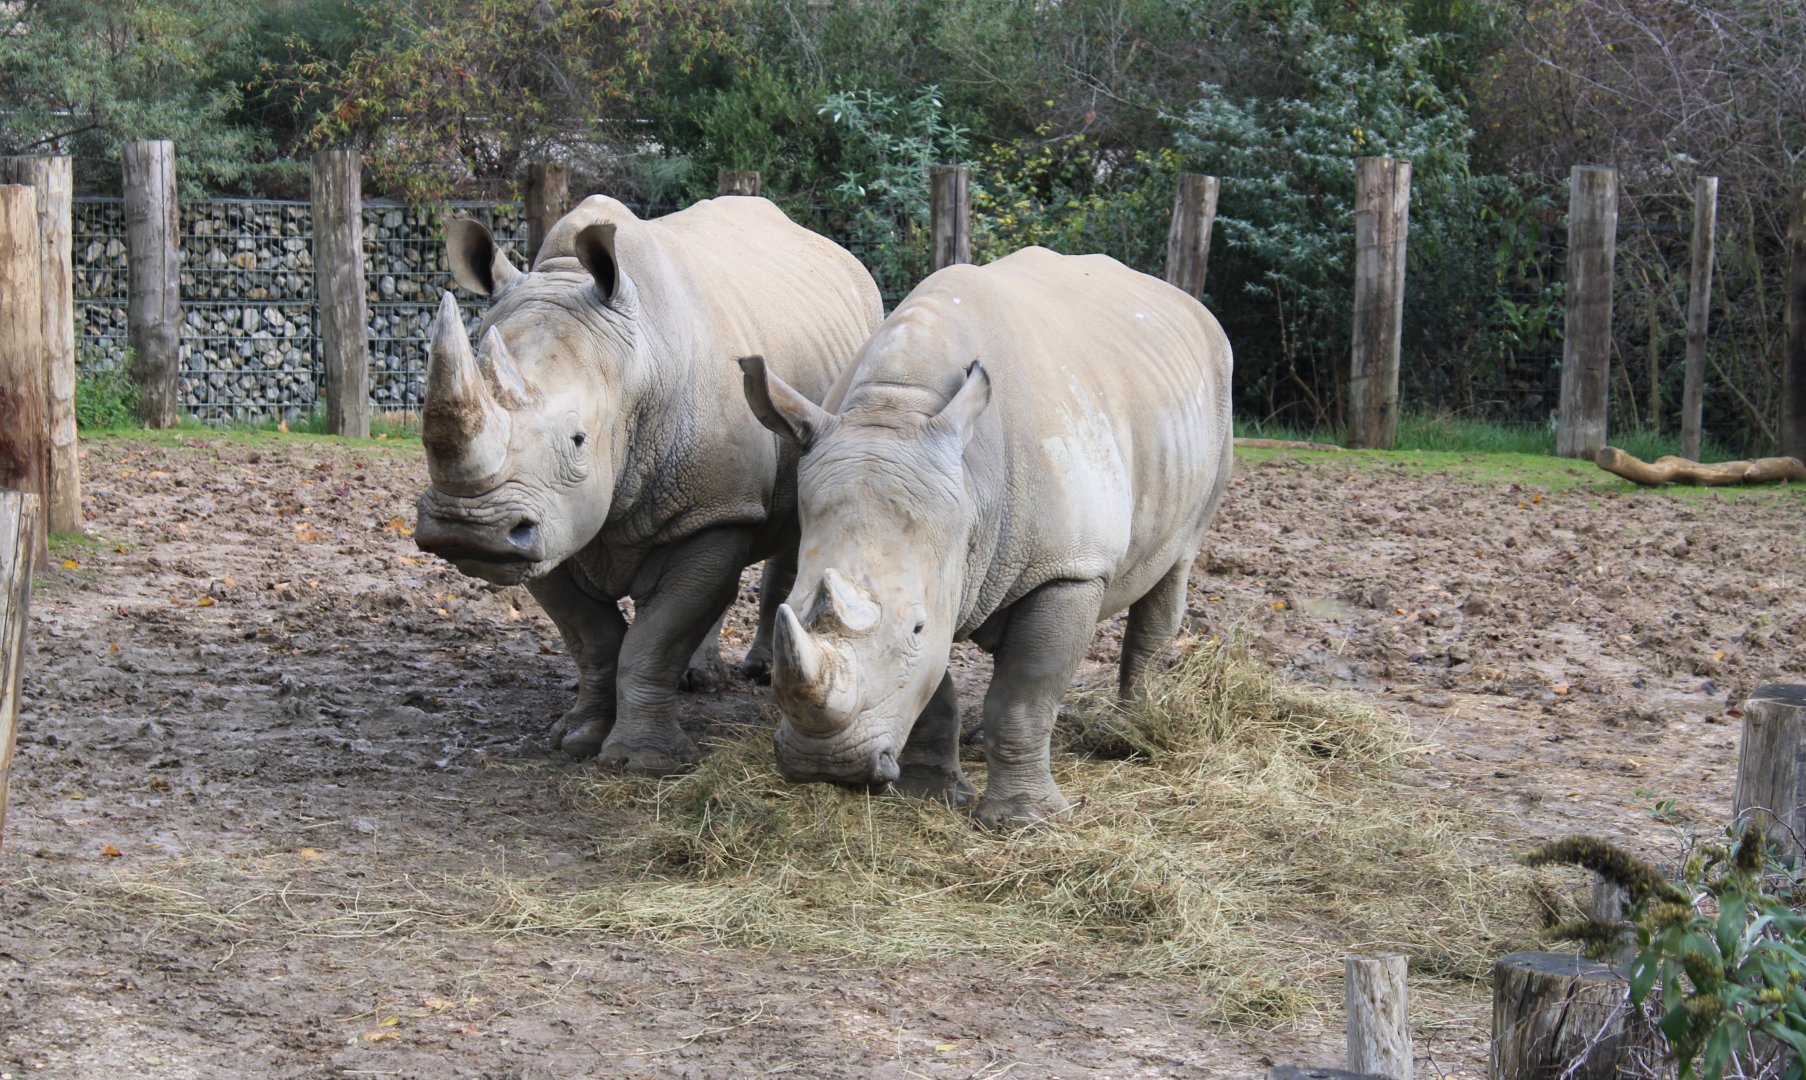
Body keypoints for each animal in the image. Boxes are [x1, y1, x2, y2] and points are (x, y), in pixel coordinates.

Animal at [414, 194, 882, 774]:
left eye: (578, 440)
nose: (467, 530)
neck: (634, 370)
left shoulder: (711, 511)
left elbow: (654, 638)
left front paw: (643, 762)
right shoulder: (548, 524)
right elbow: (592, 638)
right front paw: (577, 739)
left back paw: (756, 674)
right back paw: (699, 680)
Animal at [738, 246, 1233, 828]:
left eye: (915, 627)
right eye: (789, 611)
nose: (825, 765)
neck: (896, 407)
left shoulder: (1069, 569)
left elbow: (1023, 696)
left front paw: (1027, 823)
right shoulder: (940, 568)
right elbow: (935, 690)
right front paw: (929, 796)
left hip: (1217, 399)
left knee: (1176, 565)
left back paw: (1134, 731)